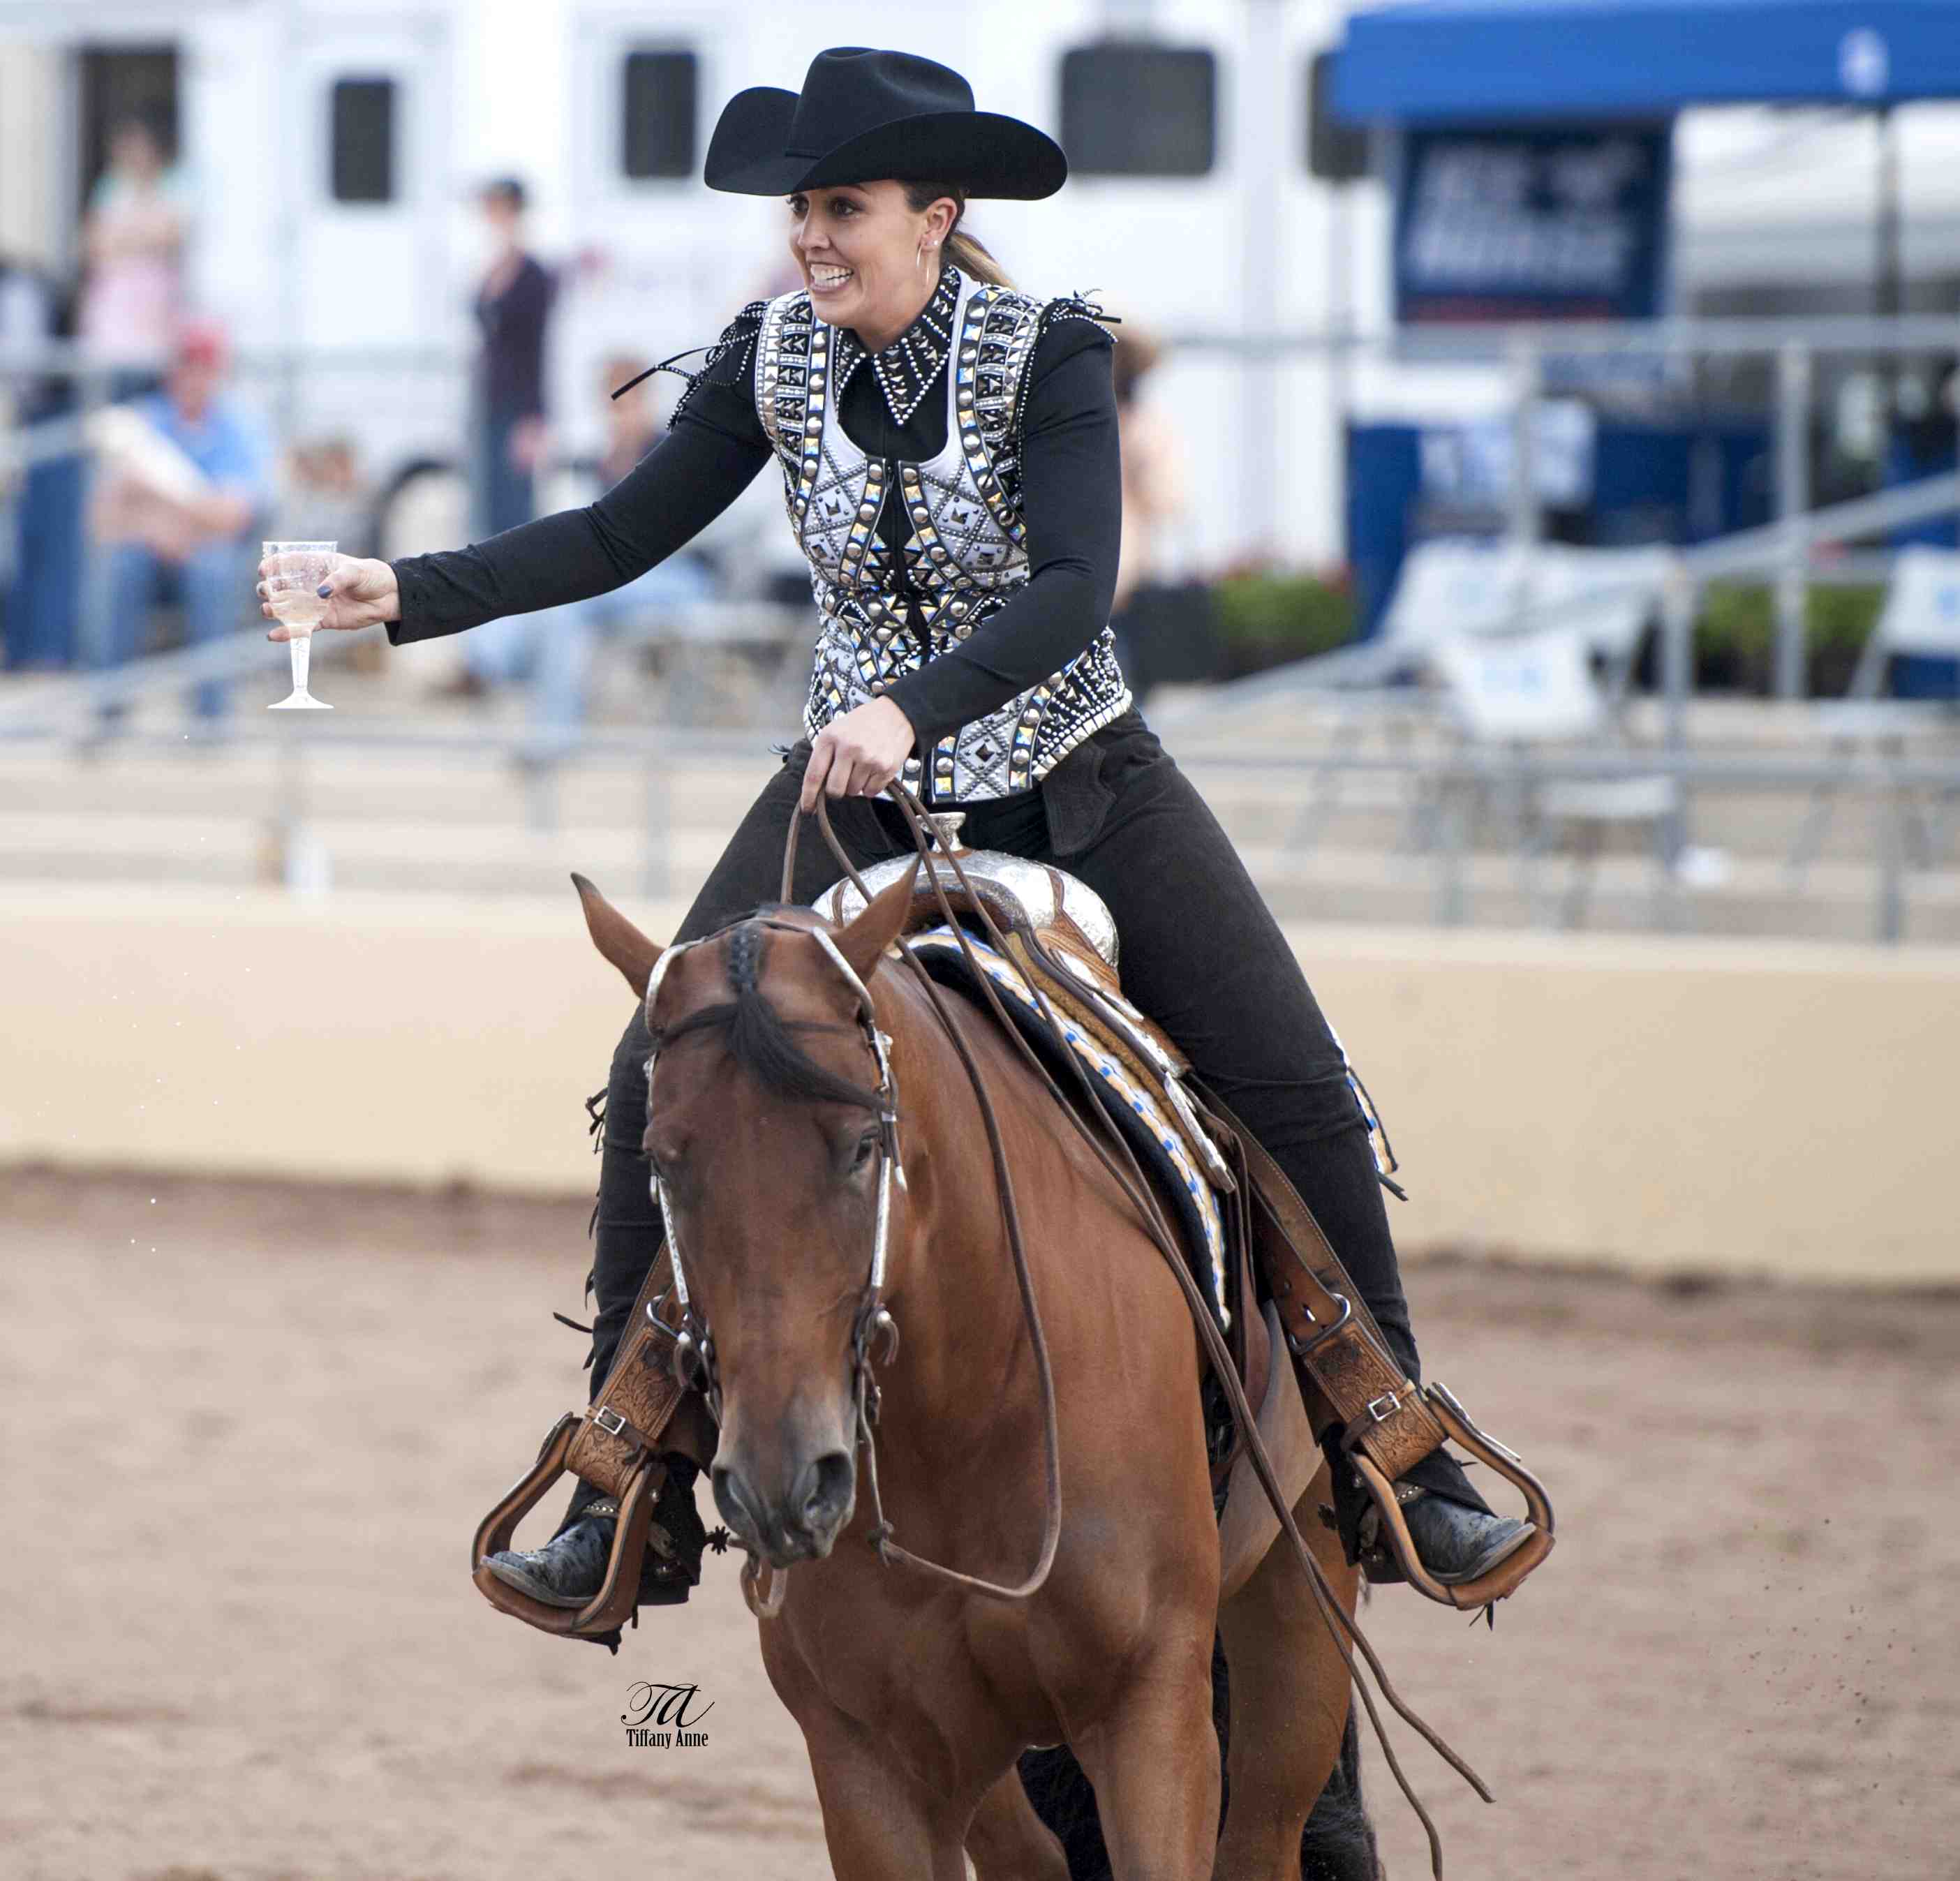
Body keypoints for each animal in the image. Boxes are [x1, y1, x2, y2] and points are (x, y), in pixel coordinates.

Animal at [572, 870, 1379, 1881]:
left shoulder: (1154, 1713)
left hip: (1298, 1619)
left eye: (862, 1145)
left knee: (1265, 1825)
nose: (781, 1483)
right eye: (663, 1160)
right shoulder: (866, 1759)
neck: (972, 1404)